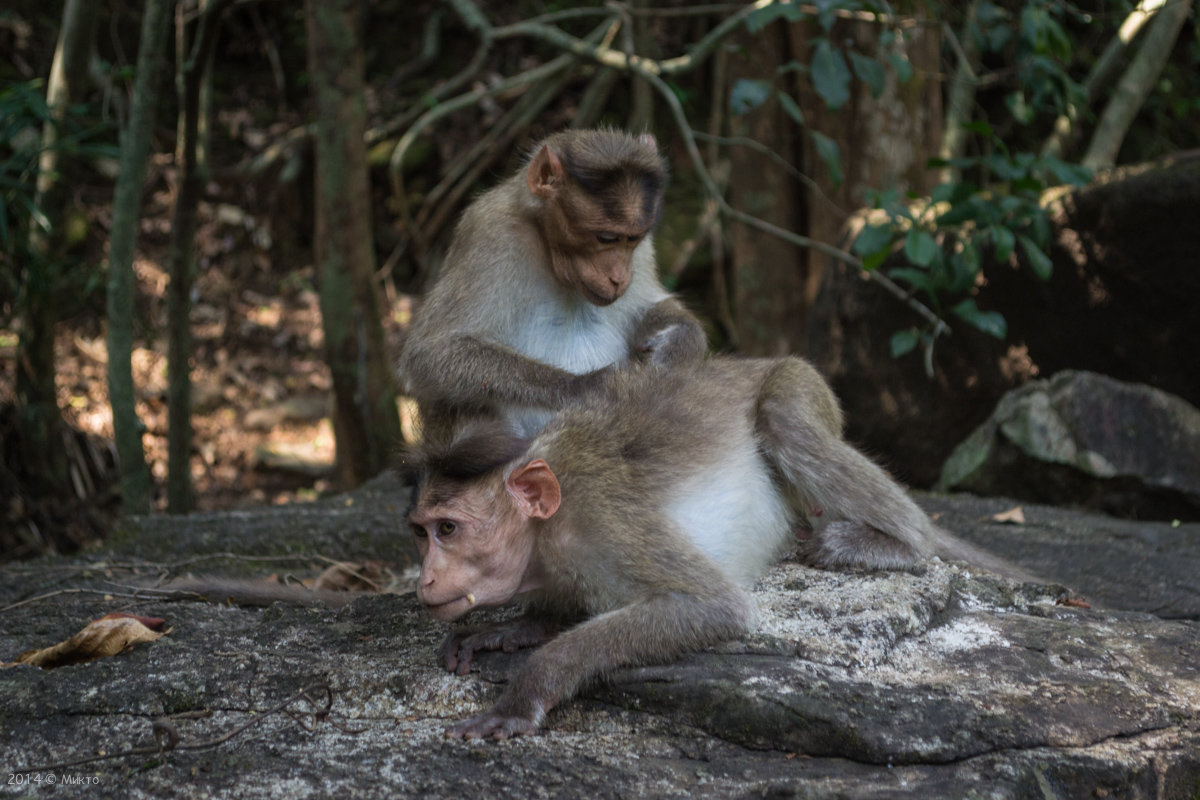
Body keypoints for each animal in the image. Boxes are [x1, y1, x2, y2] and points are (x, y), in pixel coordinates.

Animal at [398, 131, 705, 443]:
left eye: (633, 239)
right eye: (606, 238)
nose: (619, 277)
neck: (545, 242)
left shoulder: (641, 252)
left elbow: (647, 307)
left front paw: (680, 341)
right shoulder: (491, 233)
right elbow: (432, 354)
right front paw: (588, 388)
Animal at [403, 357, 1022, 738]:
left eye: (449, 530)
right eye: (421, 533)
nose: (424, 579)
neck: (546, 528)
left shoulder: (604, 525)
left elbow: (712, 605)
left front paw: (524, 693)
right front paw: (509, 630)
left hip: (799, 384)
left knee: (785, 419)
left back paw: (892, 540)